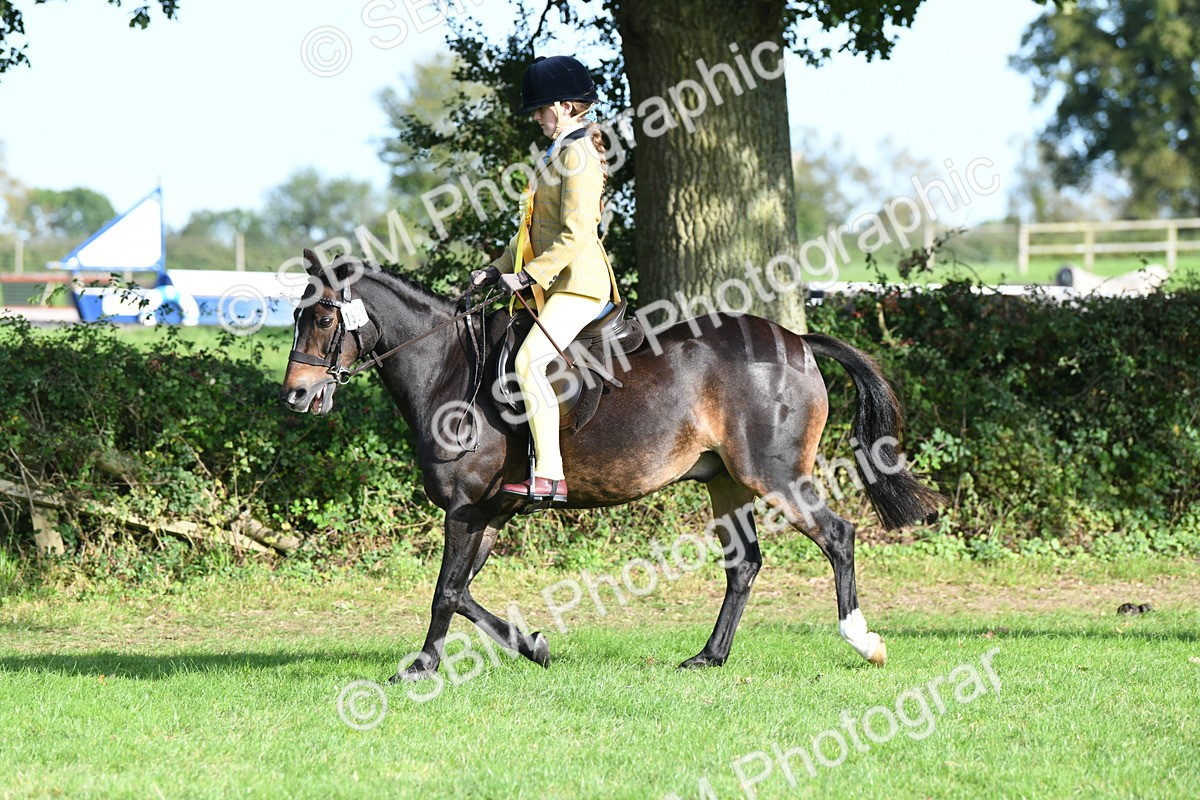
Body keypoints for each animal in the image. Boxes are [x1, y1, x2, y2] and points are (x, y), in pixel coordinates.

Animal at [281, 250, 942, 682]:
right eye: (295, 316)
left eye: (324, 318)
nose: (295, 396)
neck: (448, 368)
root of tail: (797, 341)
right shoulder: (489, 512)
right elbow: (461, 591)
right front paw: (527, 647)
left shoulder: (467, 508)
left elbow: (446, 590)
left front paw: (425, 667)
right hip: (727, 482)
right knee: (745, 565)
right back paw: (708, 657)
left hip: (774, 475)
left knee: (838, 536)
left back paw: (863, 641)